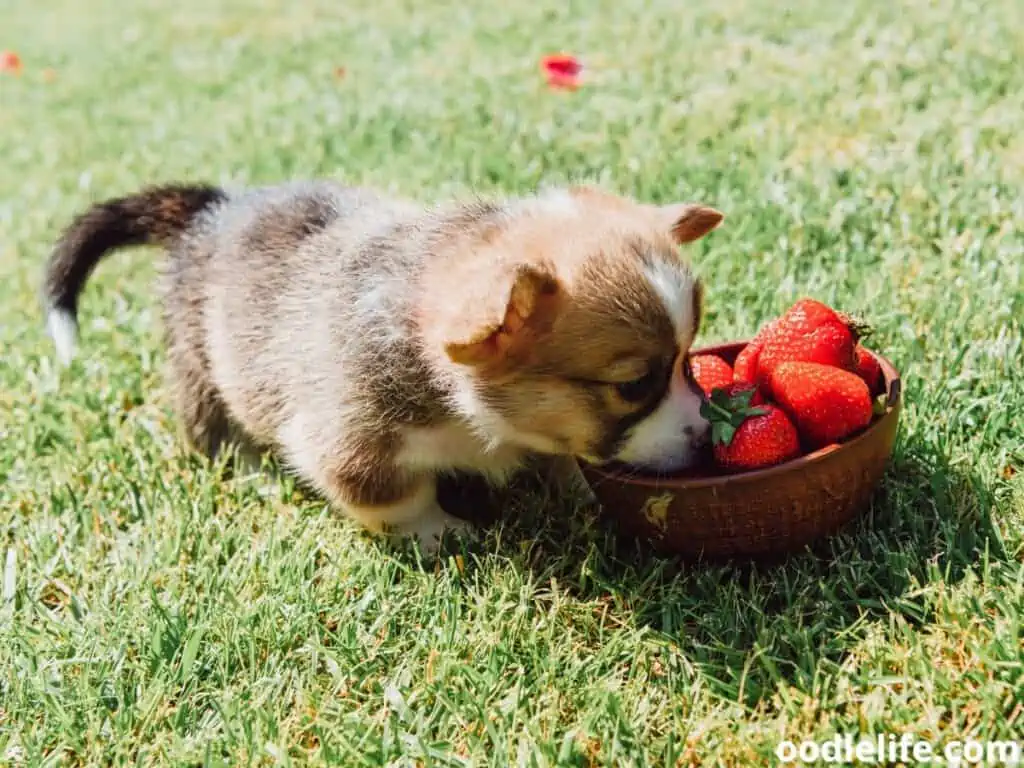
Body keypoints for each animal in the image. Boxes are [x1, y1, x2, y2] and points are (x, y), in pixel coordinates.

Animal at [44, 180, 724, 552]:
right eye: (634, 385)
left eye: (688, 357)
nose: (708, 437)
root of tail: (212, 209)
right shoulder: (350, 443)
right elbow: (395, 496)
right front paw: (439, 532)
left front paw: (579, 489)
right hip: (199, 366)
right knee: (210, 429)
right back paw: (250, 469)